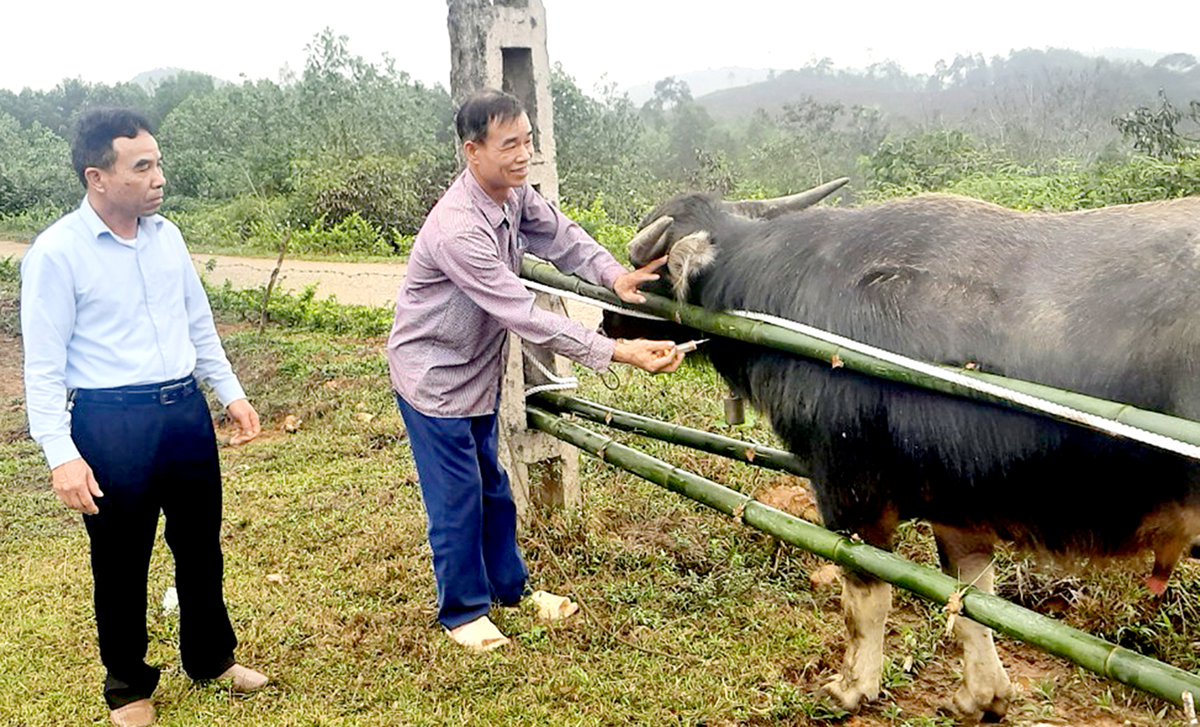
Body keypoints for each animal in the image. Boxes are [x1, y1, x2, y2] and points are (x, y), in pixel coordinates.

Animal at [604, 183, 1200, 724]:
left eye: (648, 270)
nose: (608, 318)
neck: (783, 294)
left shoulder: (851, 493)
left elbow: (864, 600)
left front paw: (850, 688)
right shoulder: (958, 508)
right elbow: (971, 602)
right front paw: (981, 697)